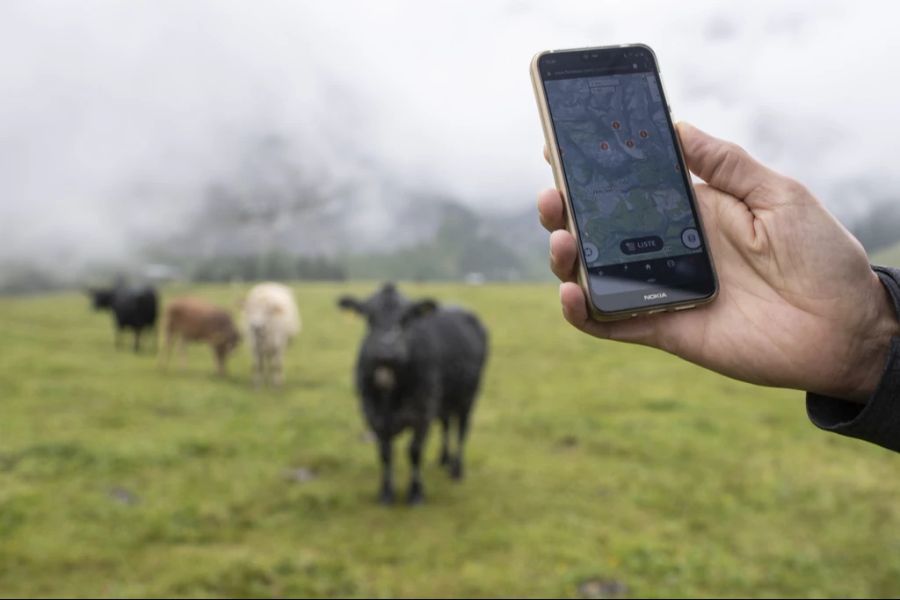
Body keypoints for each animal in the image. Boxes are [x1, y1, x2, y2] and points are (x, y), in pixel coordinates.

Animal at [342, 284, 488, 504]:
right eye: (370, 317)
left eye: (406, 318)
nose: (386, 352)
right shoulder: (373, 415)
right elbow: (385, 453)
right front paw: (386, 492)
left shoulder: (422, 415)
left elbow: (414, 451)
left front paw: (416, 492)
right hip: (443, 400)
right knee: (446, 424)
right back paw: (443, 459)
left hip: (468, 397)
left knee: (462, 429)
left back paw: (456, 469)